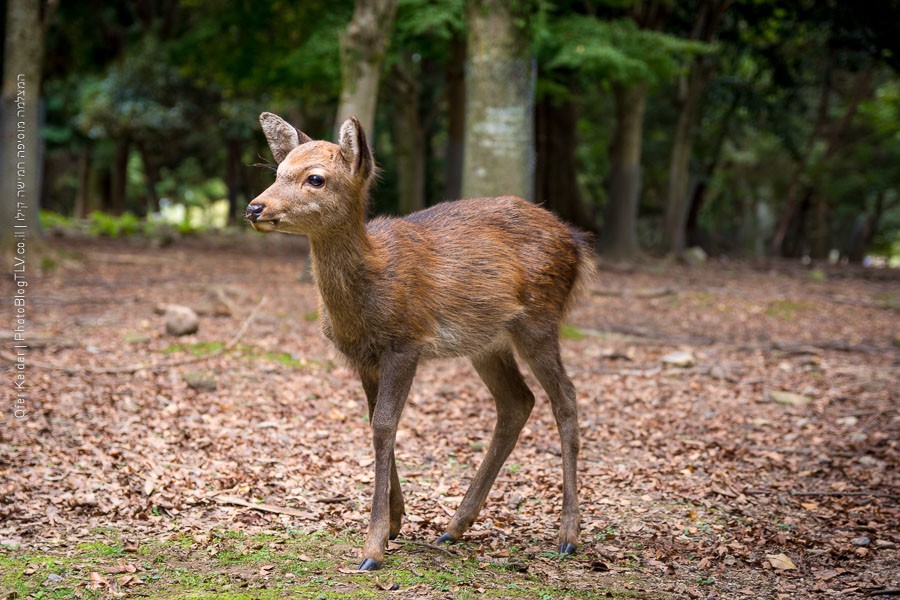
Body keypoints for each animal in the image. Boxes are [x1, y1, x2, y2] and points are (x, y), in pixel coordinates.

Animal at [248, 112, 596, 572]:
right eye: (278, 172)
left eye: (315, 178)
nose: (254, 207)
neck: (369, 294)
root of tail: (577, 243)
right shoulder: (363, 358)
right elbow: (375, 423)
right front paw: (394, 524)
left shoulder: (405, 342)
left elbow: (384, 425)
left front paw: (373, 548)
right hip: (488, 343)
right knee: (517, 402)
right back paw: (454, 527)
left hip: (539, 319)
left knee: (566, 398)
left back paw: (568, 536)